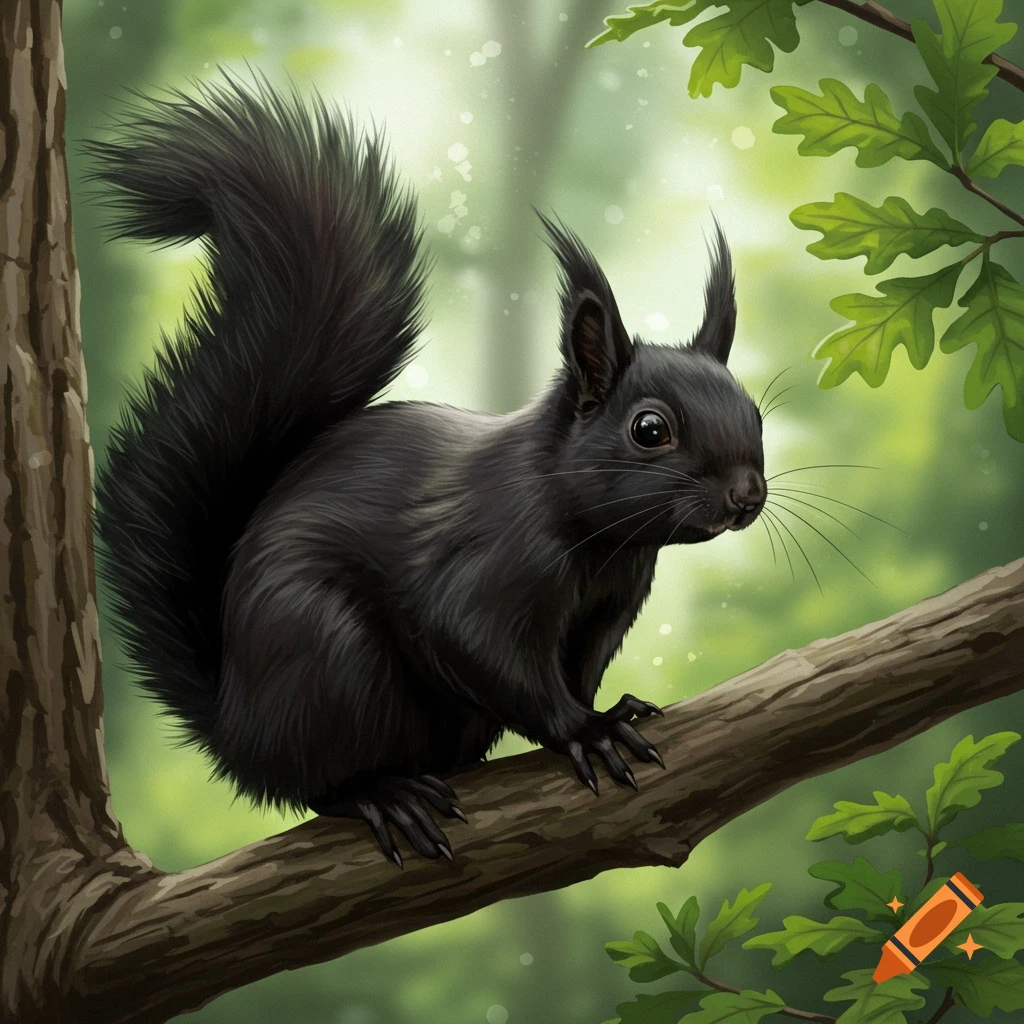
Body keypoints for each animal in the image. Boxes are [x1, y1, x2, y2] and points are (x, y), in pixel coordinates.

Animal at [89, 75, 767, 867]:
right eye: (650, 429)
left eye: (755, 412)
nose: (746, 495)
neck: (602, 541)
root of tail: (235, 729)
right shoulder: (480, 571)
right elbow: (478, 645)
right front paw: (586, 729)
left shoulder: (608, 609)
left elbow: (580, 666)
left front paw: (608, 707)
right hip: (328, 657)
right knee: (314, 784)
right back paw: (381, 793)